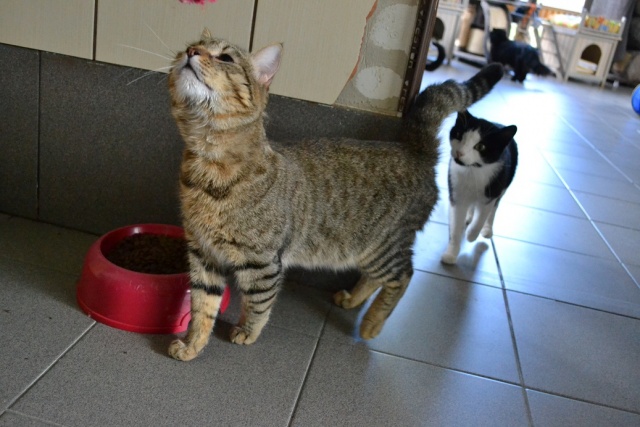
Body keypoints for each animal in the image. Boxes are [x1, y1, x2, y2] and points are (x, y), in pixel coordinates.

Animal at [167, 28, 504, 361]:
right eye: (191, 46)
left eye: (225, 57)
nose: (191, 52)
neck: (207, 163)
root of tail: (415, 149)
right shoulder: (203, 254)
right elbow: (202, 306)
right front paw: (192, 344)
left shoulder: (261, 263)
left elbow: (259, 303)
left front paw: (248, 331)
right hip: (368, 250)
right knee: (379, 277)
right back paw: (353, 300)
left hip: (381, 247)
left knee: (404, 275)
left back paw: (372, 323)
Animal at [441, 110, 518, 265]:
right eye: (459, 135)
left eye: (481, 146)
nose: (460, 153)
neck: (472, 171)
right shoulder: (456, 193)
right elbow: (456, 226)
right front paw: (451, 254)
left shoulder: (491, 192)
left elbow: (482, 216)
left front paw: (471, 234)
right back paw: (468, 217)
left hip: (503, 186)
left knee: (493, 210)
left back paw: (487, 229)